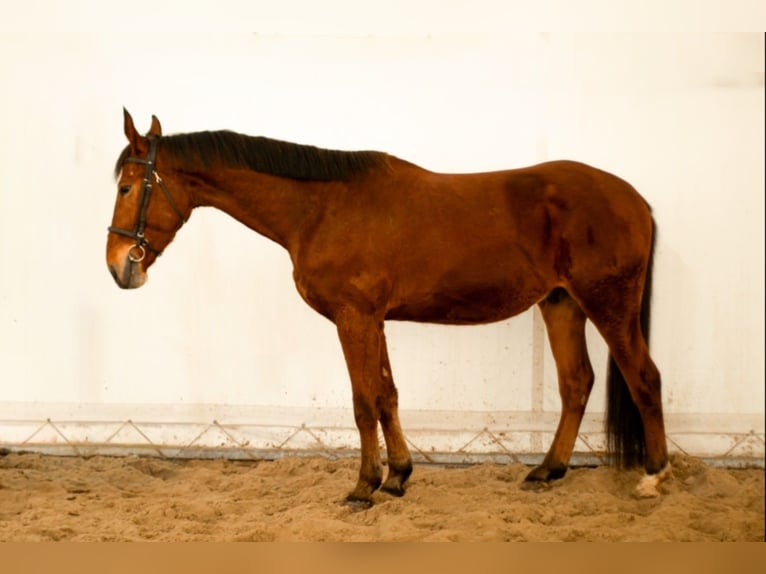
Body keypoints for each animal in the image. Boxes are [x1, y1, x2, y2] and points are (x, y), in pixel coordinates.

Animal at [107, 109, 670, 507]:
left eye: (128, 186)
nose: (118, 266)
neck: (321, 209)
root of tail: (634, 199)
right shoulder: (374, 320)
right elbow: (387, 396)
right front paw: (398, 476)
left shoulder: (354, 318)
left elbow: (363, 403)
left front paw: (364, 487)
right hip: (561, 304)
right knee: (576, 383)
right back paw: (548, 470)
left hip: (607, 303)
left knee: (644, 378)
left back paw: (654, 476)